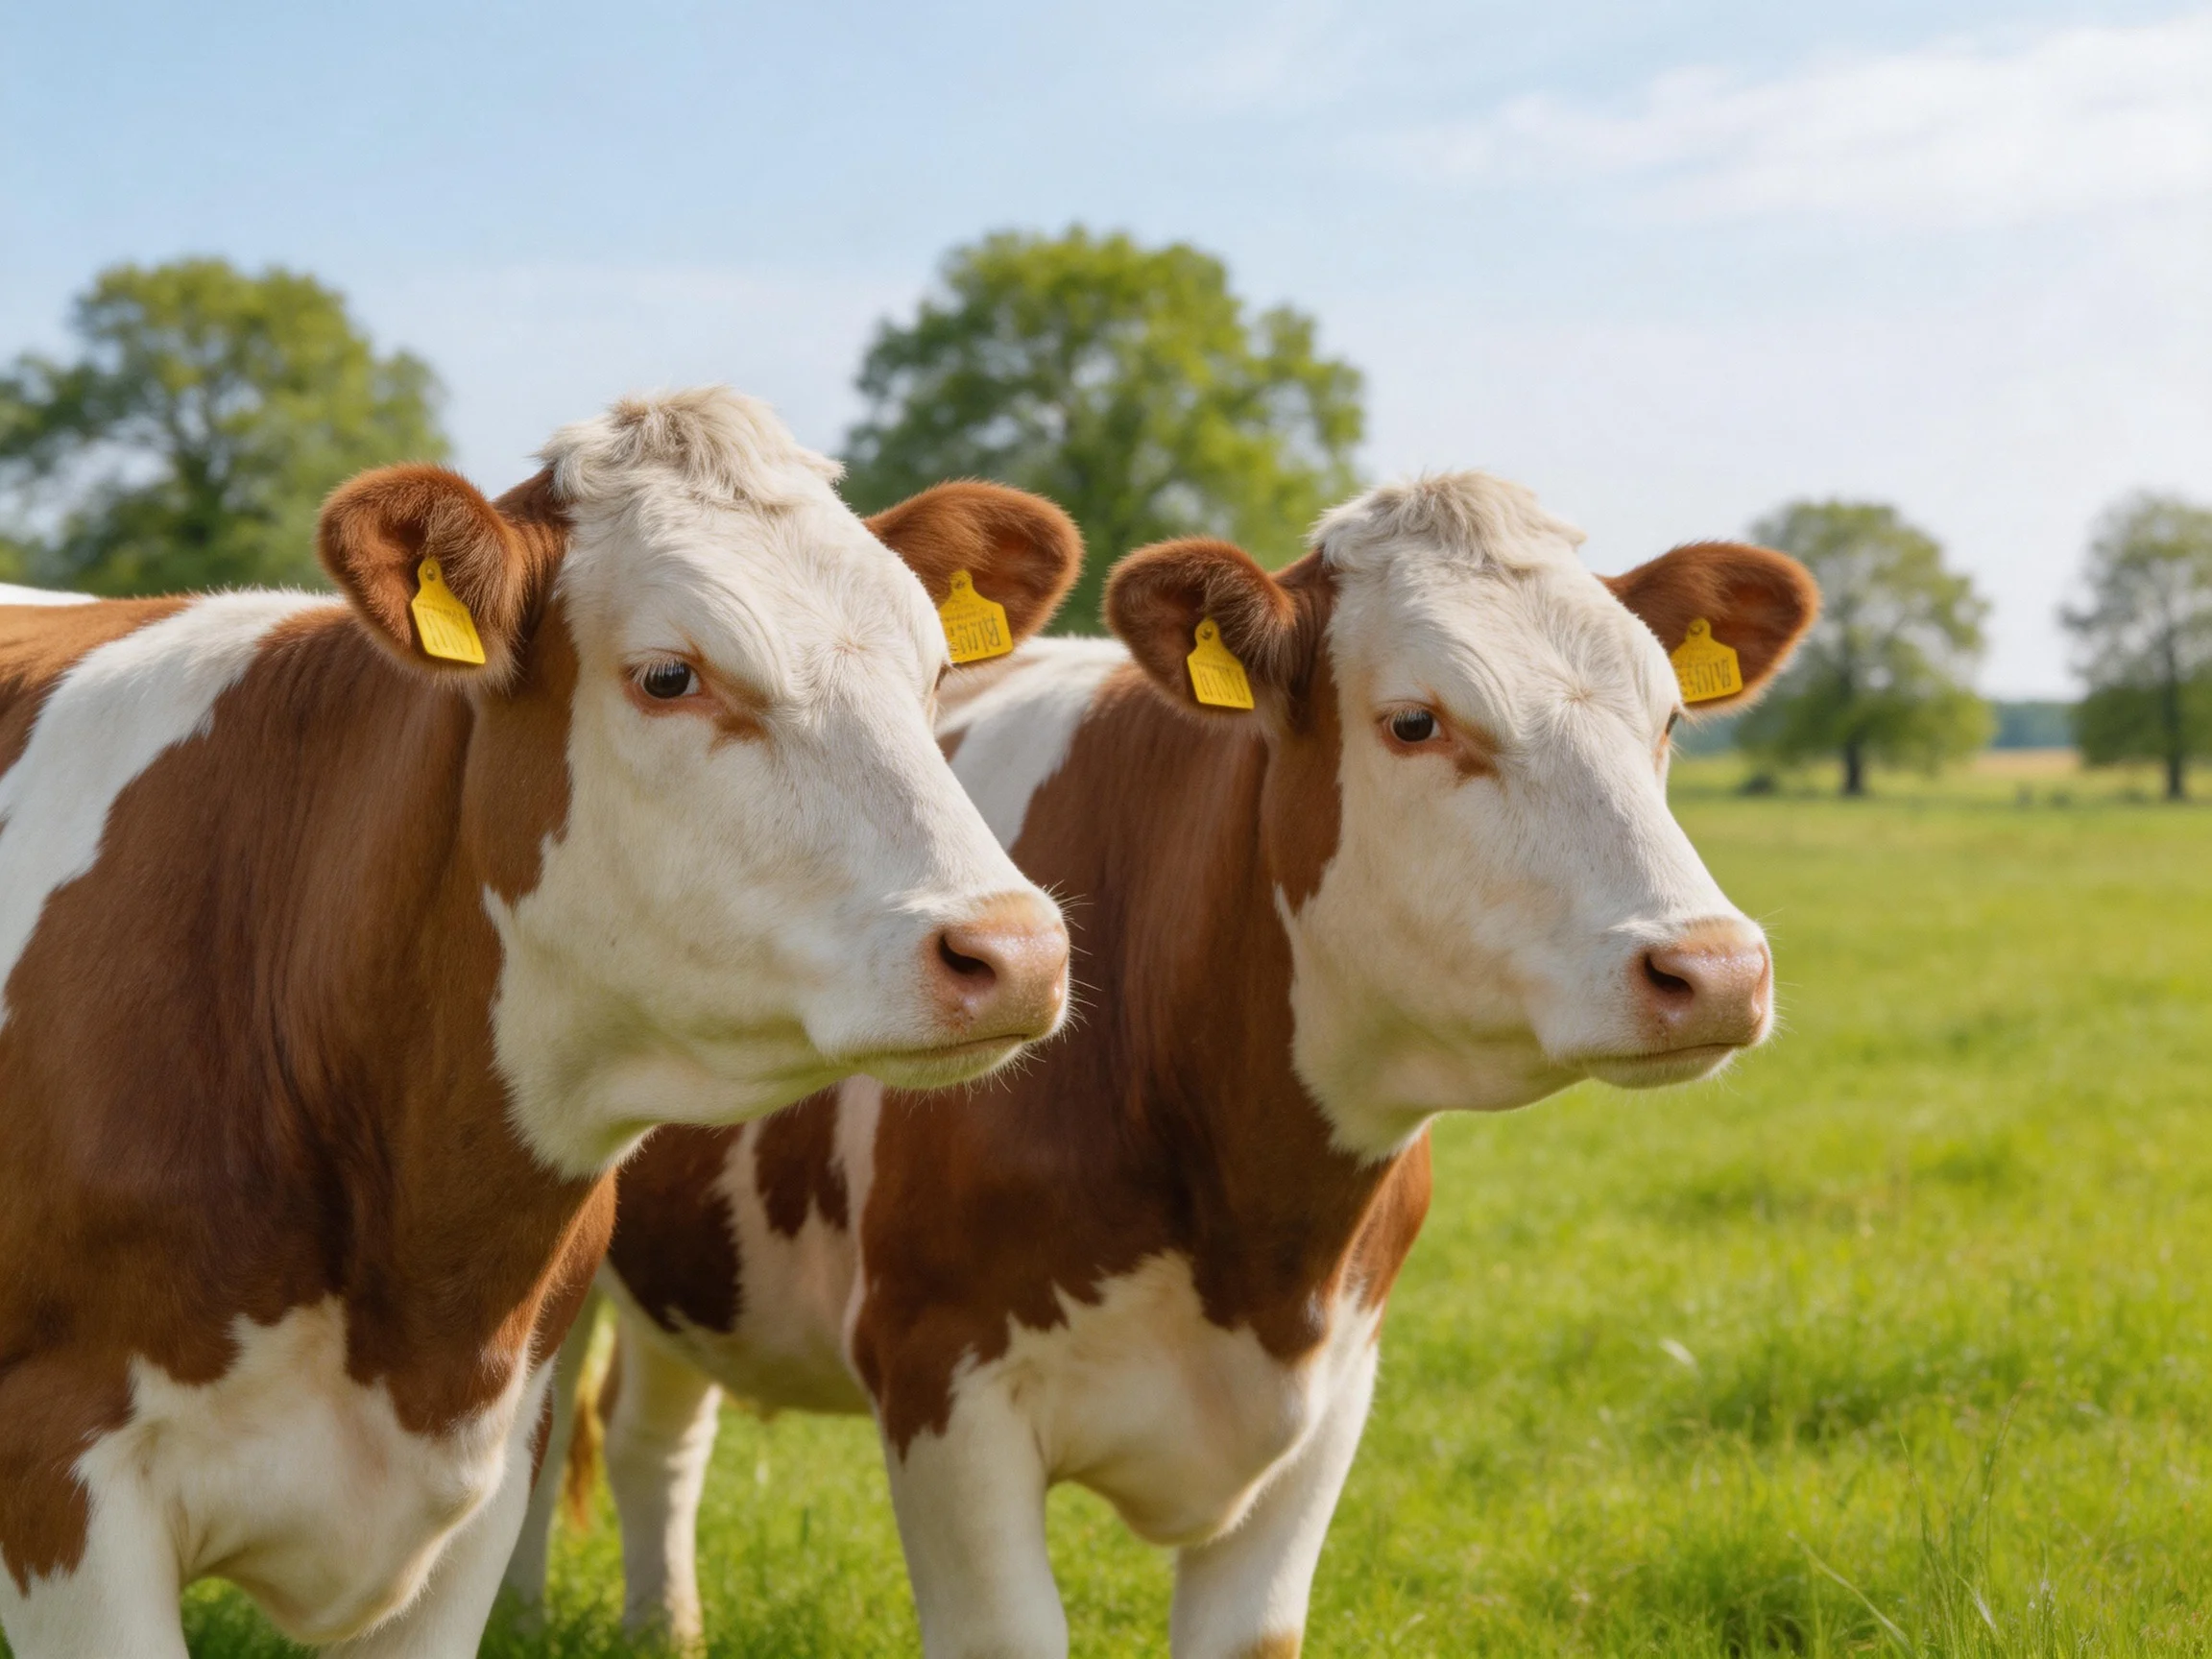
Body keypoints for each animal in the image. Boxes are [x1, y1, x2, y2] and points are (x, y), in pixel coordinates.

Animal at [504, 470, 1819, 1658]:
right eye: (1415, 721)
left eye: (1667, 722)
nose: (1714, 968)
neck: (1255, 1236)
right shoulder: (941, 1377)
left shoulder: (1335, 1395)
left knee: (650, 1433)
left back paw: (661, 1629)